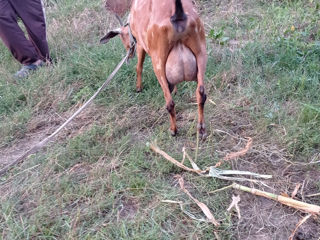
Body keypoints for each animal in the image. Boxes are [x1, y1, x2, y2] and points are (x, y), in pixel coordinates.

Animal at [101, 0, 209, 139]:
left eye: (122, 37)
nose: (129, 55)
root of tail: (178, 15)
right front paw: (175, 90)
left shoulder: (141, 44)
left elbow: (139, 66)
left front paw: (138, 88)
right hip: (201, 53)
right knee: (201, 93)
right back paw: (201, 130)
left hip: (158, 60)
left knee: (169, 102)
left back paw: (173, 130)